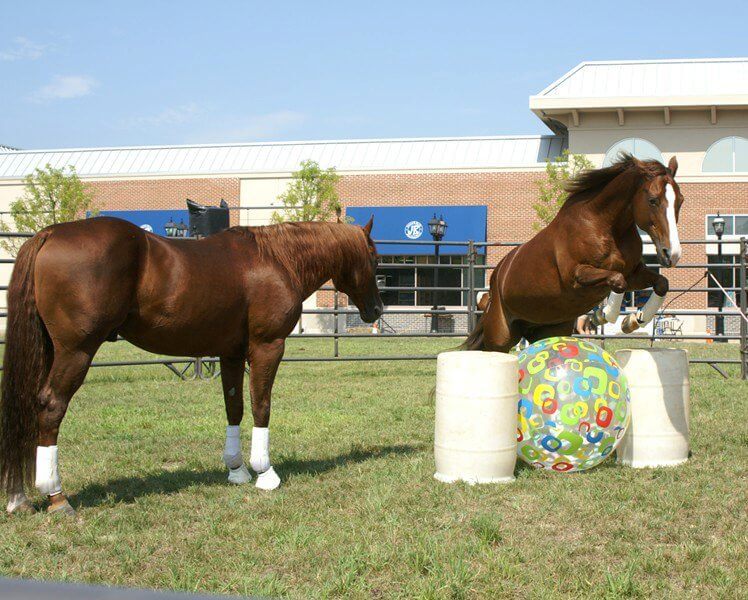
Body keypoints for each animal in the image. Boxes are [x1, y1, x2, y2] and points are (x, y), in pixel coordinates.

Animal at [1, 217, 383, 515]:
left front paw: (237, 470)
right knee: (50, 406)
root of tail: (50, 234)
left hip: (48, 349)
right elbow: (261, 405)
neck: (278, 259)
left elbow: (234, 407)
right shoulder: (267, 347)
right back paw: (56, 495)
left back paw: (19, 497)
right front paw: (265, 473)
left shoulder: (231, 353)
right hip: (75, 352)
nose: (377, 310)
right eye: (375, 258)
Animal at [464, 154, 684, 352]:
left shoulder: (634, 274)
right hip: (500, 336)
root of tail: (496, 278)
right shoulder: (576, 277)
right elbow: (617, 280)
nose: (671, 254)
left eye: (680, 201)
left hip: (547, 329)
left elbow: (661, 283)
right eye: (653, 200)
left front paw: (634, 320)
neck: (606, 226)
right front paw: (600, 317)